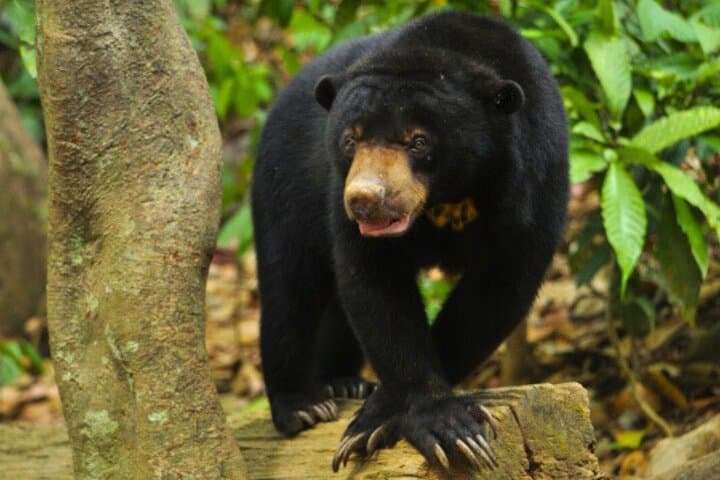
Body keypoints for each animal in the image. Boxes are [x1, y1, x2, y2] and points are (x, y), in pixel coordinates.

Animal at [251, 10, 568, 473]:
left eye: (418, 141)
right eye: (350, 139)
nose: (364, 199)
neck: (448, 197)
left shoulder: (534, 186)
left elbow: (496, 291)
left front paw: (394, 415)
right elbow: (374, 285)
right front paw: (430, 424)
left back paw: (344, 383)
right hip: (283, 179)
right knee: (289, 286)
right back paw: (303, 406)